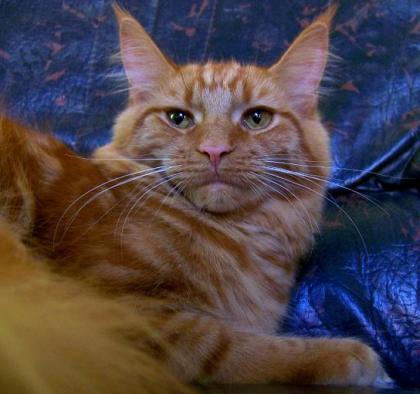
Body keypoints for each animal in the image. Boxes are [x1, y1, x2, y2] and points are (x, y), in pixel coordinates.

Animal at [0, 5, 388, 388]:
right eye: (179, 118)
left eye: (257, 118)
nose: (214, 150)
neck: (240, 236)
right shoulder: (116, 307)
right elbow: (227, 344)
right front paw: (345, 357)